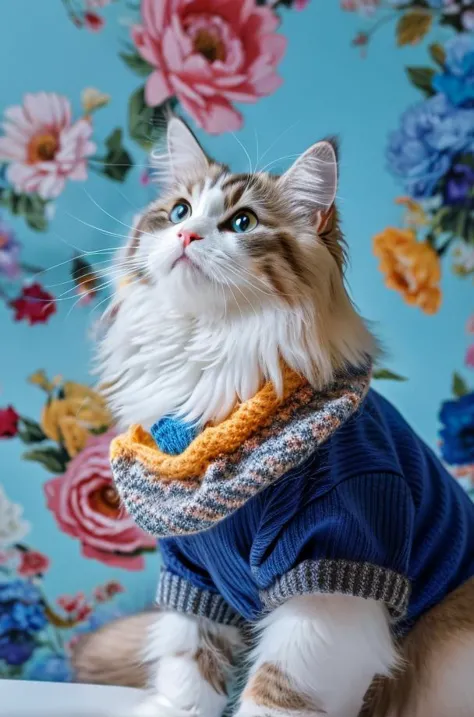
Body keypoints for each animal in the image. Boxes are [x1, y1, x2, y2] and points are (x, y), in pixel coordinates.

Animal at [73, 119, 474, 716]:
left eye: (243, 222)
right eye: (179, 212)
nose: (187, 237)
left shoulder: (333, 569)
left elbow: (278, 688)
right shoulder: (193, 575)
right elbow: (189, 662)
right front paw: (177, 708)